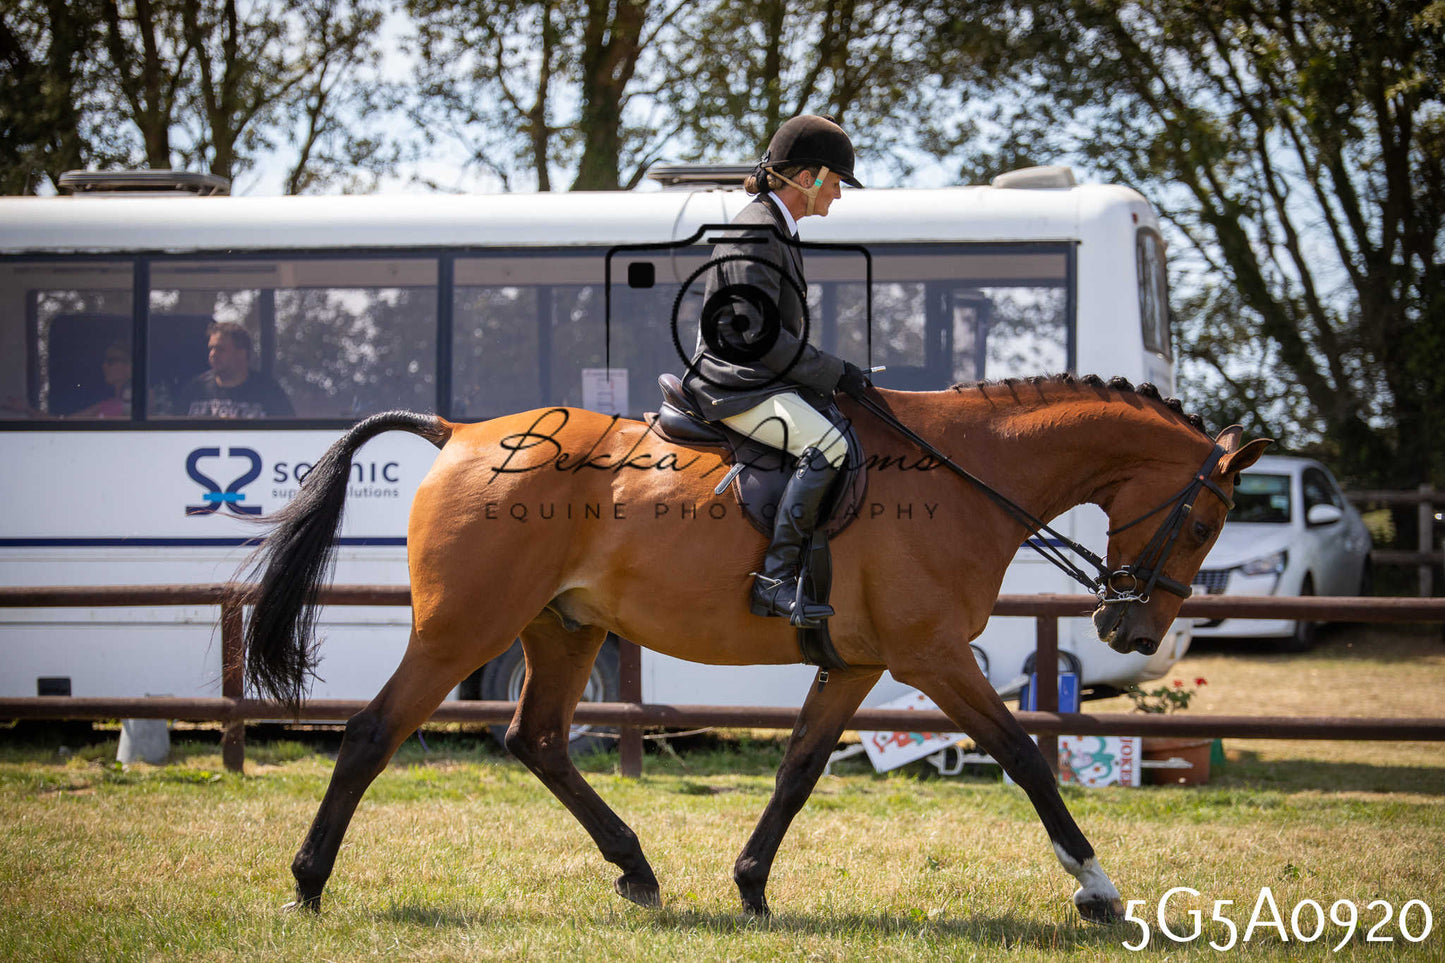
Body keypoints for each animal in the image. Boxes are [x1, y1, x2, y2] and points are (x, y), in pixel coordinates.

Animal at [243, 373, 1269, 922]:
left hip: (564, 628)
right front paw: (1095, 887)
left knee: (534, 740)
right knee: (371, 734)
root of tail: (460, 433)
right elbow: (1022, 752)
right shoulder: (930, 656)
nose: (1129, 629)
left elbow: (799, 770)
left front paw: (750, 886)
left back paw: (638, 870)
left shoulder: (858, 661)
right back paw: (305, 885)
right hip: (466, 626)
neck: (966, 476)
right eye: (1203, 522)